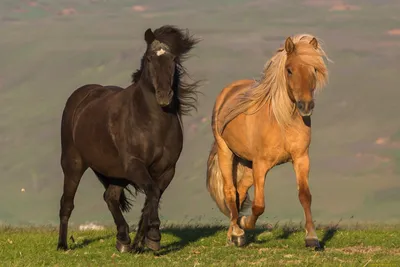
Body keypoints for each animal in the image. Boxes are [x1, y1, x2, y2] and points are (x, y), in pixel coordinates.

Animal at [57, 26, 202, 254]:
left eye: (173, 59)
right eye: (150, 58)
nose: (164, 96)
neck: (152, 124)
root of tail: (80, 97)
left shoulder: (166, 170)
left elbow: (152, 198)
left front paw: (143, 242)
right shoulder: (135, 165)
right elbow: (151, 193)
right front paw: (152, 236)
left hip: (117, 173)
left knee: (111, 197)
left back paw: (123, 240)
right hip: (73, 164)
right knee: (67, 202)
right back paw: (62, 245)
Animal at [206, 34, 328, 249]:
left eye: (314, 69)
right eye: (289, 70)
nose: (306, 106)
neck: (282, 122)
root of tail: (227, 91)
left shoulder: (301, 159)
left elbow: (305, 196)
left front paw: (312, 238)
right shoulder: (261, 165)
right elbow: (259, 205)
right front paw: (245, 223)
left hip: (247, 165)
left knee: (239, 193)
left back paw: (232, 234)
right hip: (226, 152)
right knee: (230, 191)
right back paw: (237, 232)